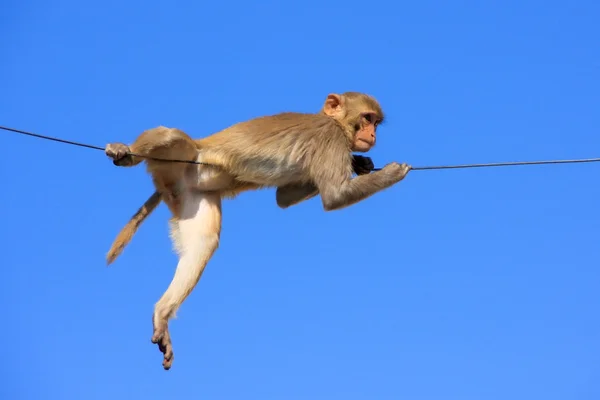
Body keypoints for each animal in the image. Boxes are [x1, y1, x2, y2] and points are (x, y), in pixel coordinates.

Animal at [104, 90, 412, 368]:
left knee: (204, 242)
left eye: (376, 122)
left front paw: (362, 163)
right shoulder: (330, 138)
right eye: (367, 118)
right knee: (171, 135)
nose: (372, 134)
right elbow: (335, 196)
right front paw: (393, 172)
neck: (332, 123)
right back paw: (125, 152)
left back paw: (162, 313)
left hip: (189, 193)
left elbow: (283, 198)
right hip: (184, 159)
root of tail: (169, 184)